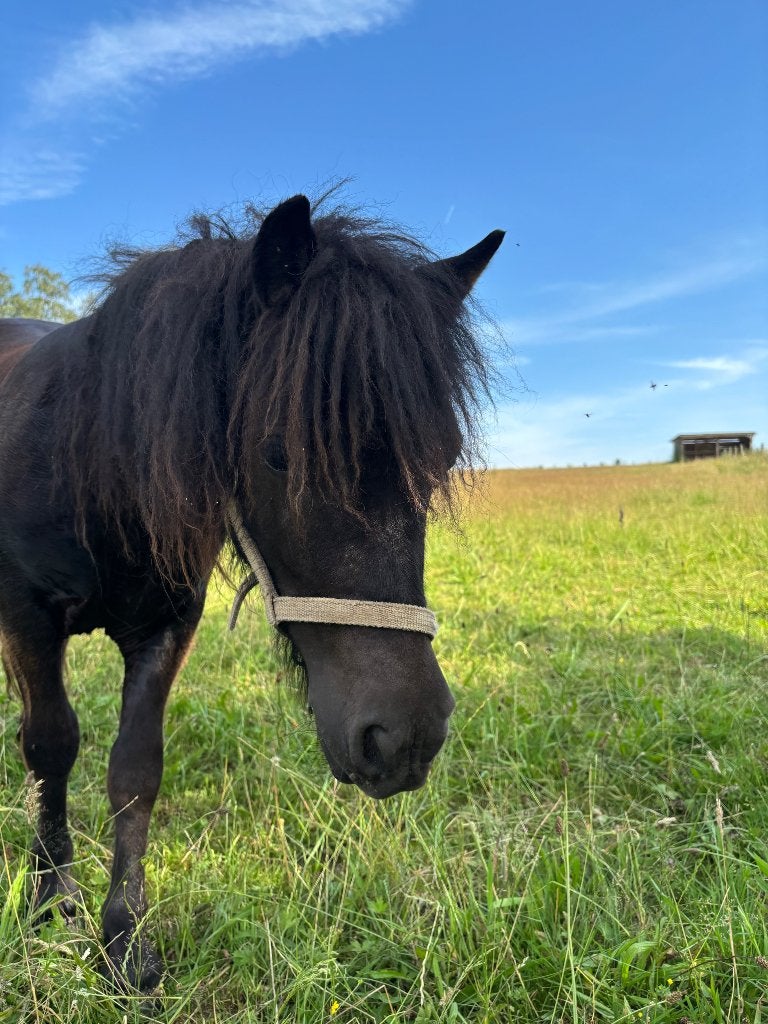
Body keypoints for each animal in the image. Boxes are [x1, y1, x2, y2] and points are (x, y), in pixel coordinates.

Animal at [0, 194, 503, 991]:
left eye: (442, 455)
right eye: (280, 455)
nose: (406, 737)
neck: (91, 470)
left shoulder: (167, 624)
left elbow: (136, 768)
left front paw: (125, 937)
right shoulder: (27, 618)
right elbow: (50, 746)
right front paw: (53, 901)